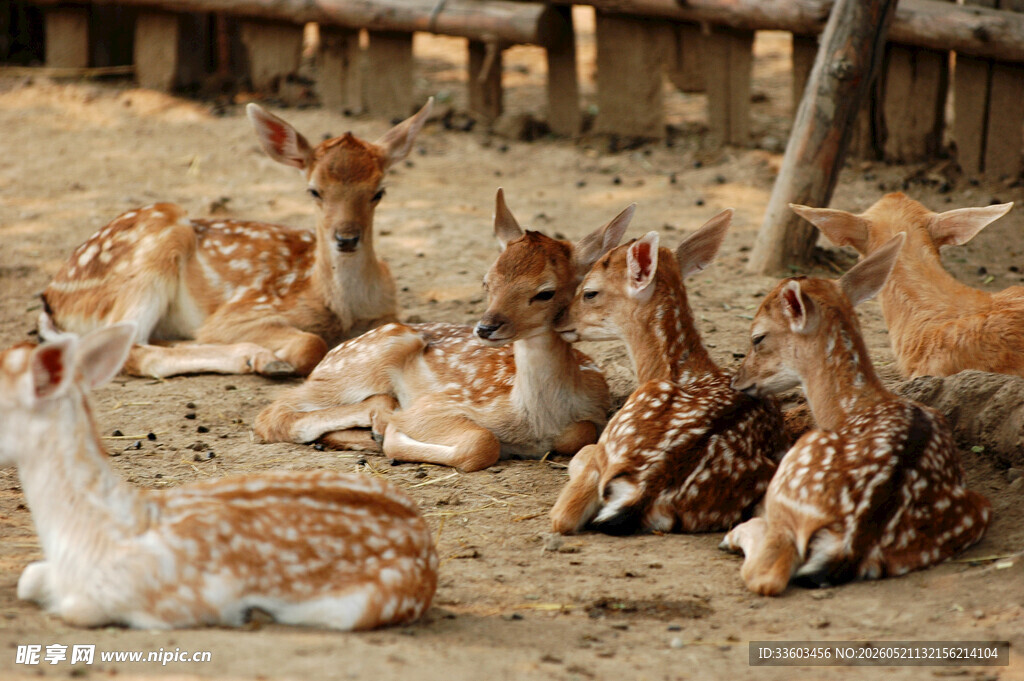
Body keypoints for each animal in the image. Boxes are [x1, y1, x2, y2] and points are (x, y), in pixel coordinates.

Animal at [40, 99, 434, 378]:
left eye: (378, 192)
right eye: (314, 191)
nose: (347, 238)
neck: (341, 308)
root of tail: (52, 295)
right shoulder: (242, 311)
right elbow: (311, 343)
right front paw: (278, 359)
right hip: (154, 251)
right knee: (131, 350)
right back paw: (258, 357)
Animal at [253, 189, 634, 472]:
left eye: (545, 292)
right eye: (486, 281)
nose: (486, 326)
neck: (535, 419)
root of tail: (332, 354)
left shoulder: (595, 407)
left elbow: (580, 433)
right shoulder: (438, 405)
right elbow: (482, 442)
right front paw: (392, 435)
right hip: (365, 359)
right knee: (274, 412)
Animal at [721, 233, 991, 596]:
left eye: (758, 337)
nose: (738, 381)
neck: (850, 408)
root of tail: (850, 542)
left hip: (794, 471)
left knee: (767, 575)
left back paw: (735, 534)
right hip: (976, 511)